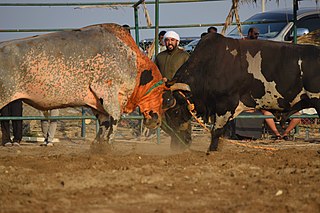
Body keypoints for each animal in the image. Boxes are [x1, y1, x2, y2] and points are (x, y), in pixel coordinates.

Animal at [164, 32, 318, 151]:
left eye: (175, 111)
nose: (177, 144)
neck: (209, 66)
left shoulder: (225, 105)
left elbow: (216, 131)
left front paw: (211, 151)